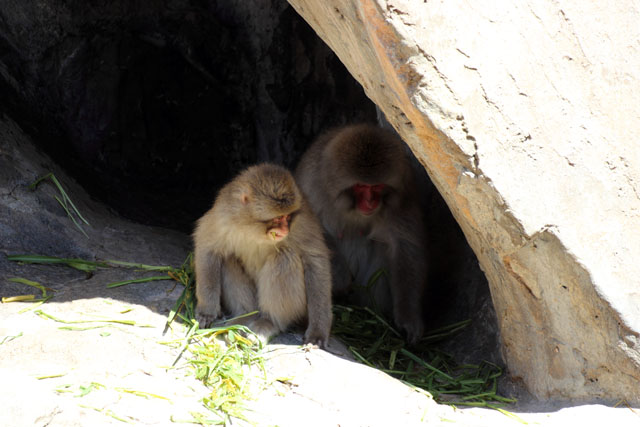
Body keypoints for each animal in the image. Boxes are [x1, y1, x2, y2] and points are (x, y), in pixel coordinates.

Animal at [192, 163, 332, 348]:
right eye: (278, 218)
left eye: (288, 217)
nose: (285, 230)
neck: (252, 228)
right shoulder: (223, 215)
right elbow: (208, 248)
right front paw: (207, 310)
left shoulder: (302, 222)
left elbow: (315, 261)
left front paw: (318, 331)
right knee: (229, 258)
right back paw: (246, 316)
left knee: (284, 257)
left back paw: (269, 322)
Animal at [296, 123, 428, 344]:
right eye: (361, 186)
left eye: (377, 186)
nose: (370, 202)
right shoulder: (311, 186)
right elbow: (311, 233)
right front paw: (341, 277)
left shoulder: (403, 195)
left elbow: (403, 246)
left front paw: (408, 317)